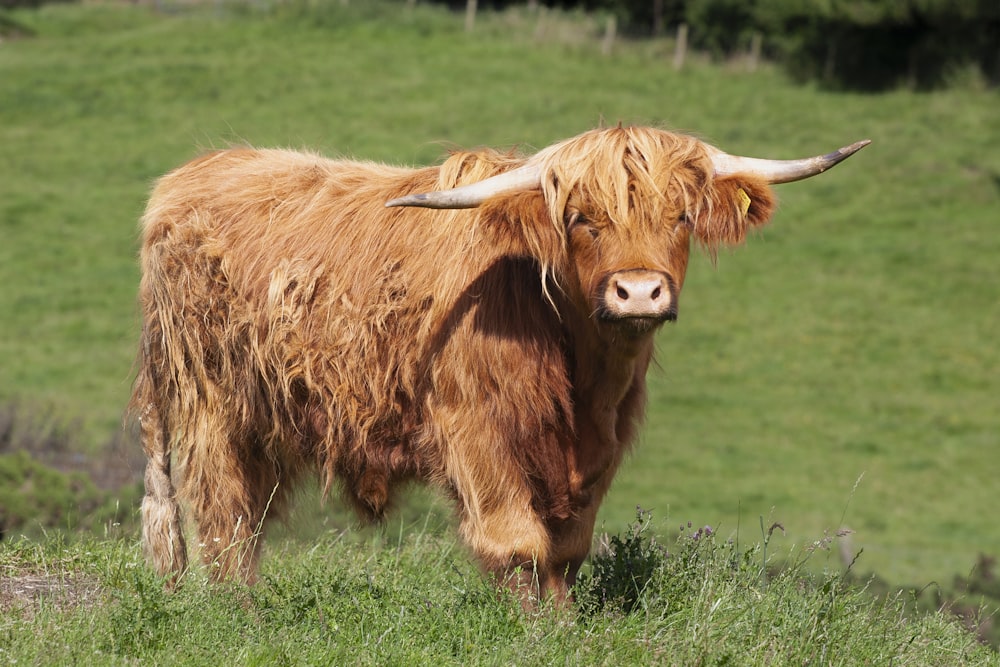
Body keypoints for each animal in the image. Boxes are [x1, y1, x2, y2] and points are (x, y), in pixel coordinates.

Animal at [133, 125, 868, 604]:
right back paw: (236, 611)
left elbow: (566, 550)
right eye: (581, 219)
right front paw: (535, 632)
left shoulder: (601, 446)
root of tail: (182, 181)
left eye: (681, 218)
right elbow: (518, 543)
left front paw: (567, 627)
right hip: (207, 402)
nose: (638, 292)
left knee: (247, 511)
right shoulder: (473, 430)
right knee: (221, 512)